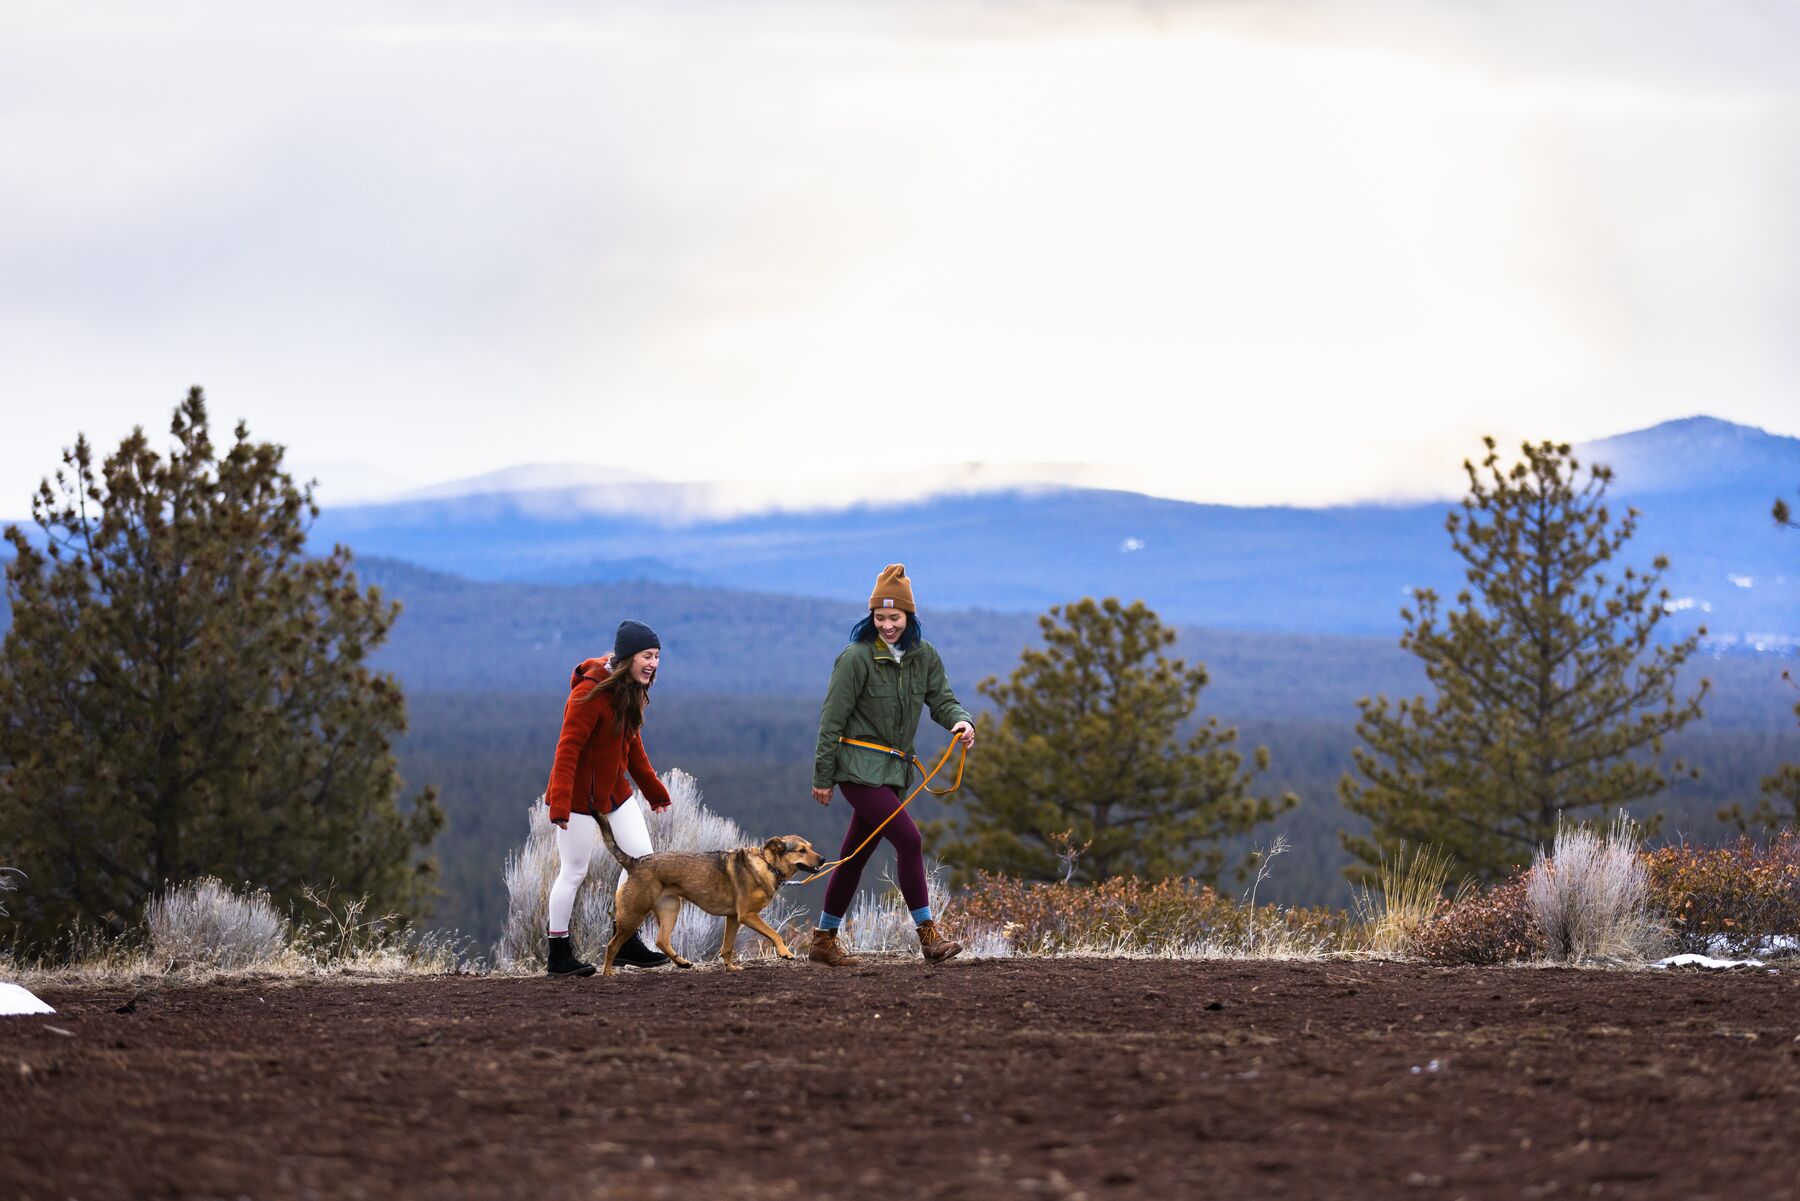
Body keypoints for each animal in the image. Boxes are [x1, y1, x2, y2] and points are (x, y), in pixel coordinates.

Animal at [601, 813, 824, 972]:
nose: (822, 859)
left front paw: (730, 968)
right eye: (801, 850)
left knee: (661, 940)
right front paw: (785, 953)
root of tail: (634, 862)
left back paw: (682, 963)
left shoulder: (733, 918)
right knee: (612, 946)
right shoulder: (747, 915)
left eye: (811, 847)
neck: (768, 865)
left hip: (670, 909)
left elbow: (727, 946)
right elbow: (774, 933)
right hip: (634, 914)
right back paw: (608, 975)